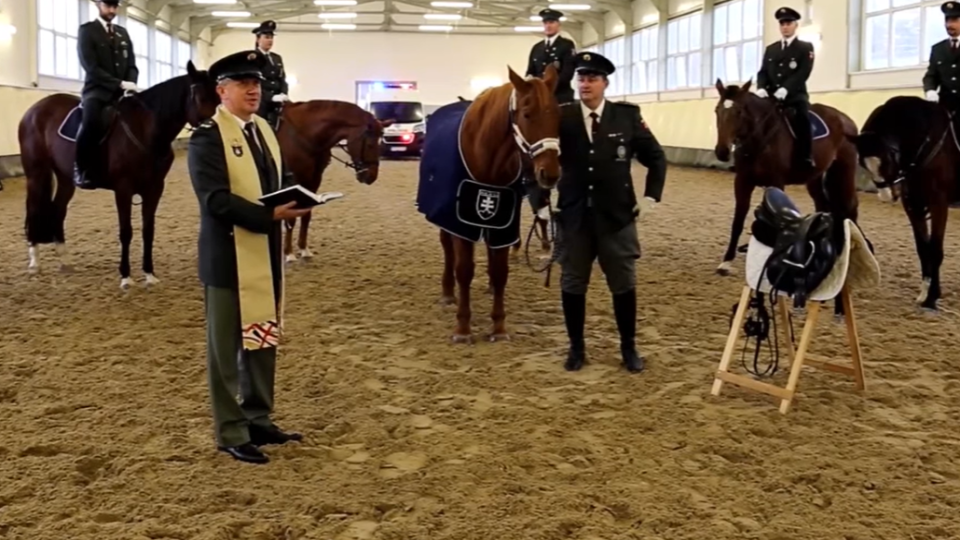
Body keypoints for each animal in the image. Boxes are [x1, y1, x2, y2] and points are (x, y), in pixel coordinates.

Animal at [20, 61, 219, 286]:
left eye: (217, 98)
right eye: (201, 97)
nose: (212, 129)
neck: (145, 129)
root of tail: (34, 109)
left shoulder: (154, 189)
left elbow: (148, 231)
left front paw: (149, 274)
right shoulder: (123, 189)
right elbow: (126, 232)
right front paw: (126, 277)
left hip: (65, 179)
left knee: (58, 210)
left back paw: (65, 260)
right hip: (36, 173)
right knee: (34, 209)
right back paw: (34, 263)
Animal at [272, 100, 392, 264]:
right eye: (370, 144)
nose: (371, 177)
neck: (303, 135)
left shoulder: (314, 180)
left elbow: (306, 214)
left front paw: (304, 249)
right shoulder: (293, 181)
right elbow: (291, 217)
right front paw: (289, 254)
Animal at [414, 64, 564, 342]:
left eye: (558, 115)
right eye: (527, 114)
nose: (549, 174)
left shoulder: (503, 222)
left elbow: (500, 270)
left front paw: (499, 326)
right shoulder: (460, 222)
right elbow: (464, 270)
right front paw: (463, 328)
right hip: (445, 217)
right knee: (448, 249)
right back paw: (448, 293)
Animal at [712, 77, 864, 276]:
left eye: (739, 111)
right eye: (717, 110)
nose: (721, 152)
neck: (761, 136)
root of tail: (846, 120)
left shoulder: (776, 183)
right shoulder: (742, 182)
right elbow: (737, 221)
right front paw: (726, 262)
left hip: (844, 170)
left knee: (850, 206)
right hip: (815, 177)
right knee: (823, 205)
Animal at [852, 95, 956, 310]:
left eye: (888, 157)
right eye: (864, 163)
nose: (886, 196)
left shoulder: (938, 203)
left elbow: (935, 250)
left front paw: (932, 298)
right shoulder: (912, 205)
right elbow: (923, 249)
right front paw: (925, 293)